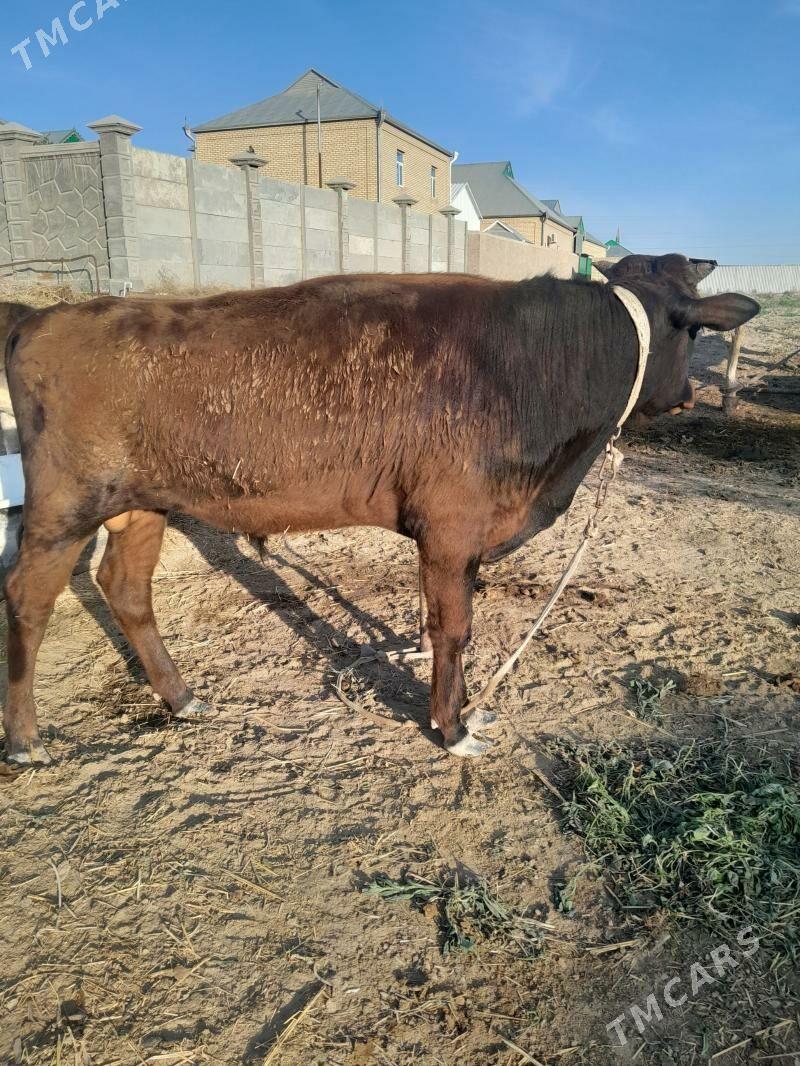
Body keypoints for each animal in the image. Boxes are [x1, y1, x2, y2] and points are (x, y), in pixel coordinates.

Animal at [2, 254, 759, 766]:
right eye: (694, 331)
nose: (688, 395)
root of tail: (43, 313)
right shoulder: (452, 529)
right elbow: (454, 630)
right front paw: (453, 728)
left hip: (141, 502)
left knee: (125, 589)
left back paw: (182, 698)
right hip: (62, 505)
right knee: (28, 598)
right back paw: (26, 738)